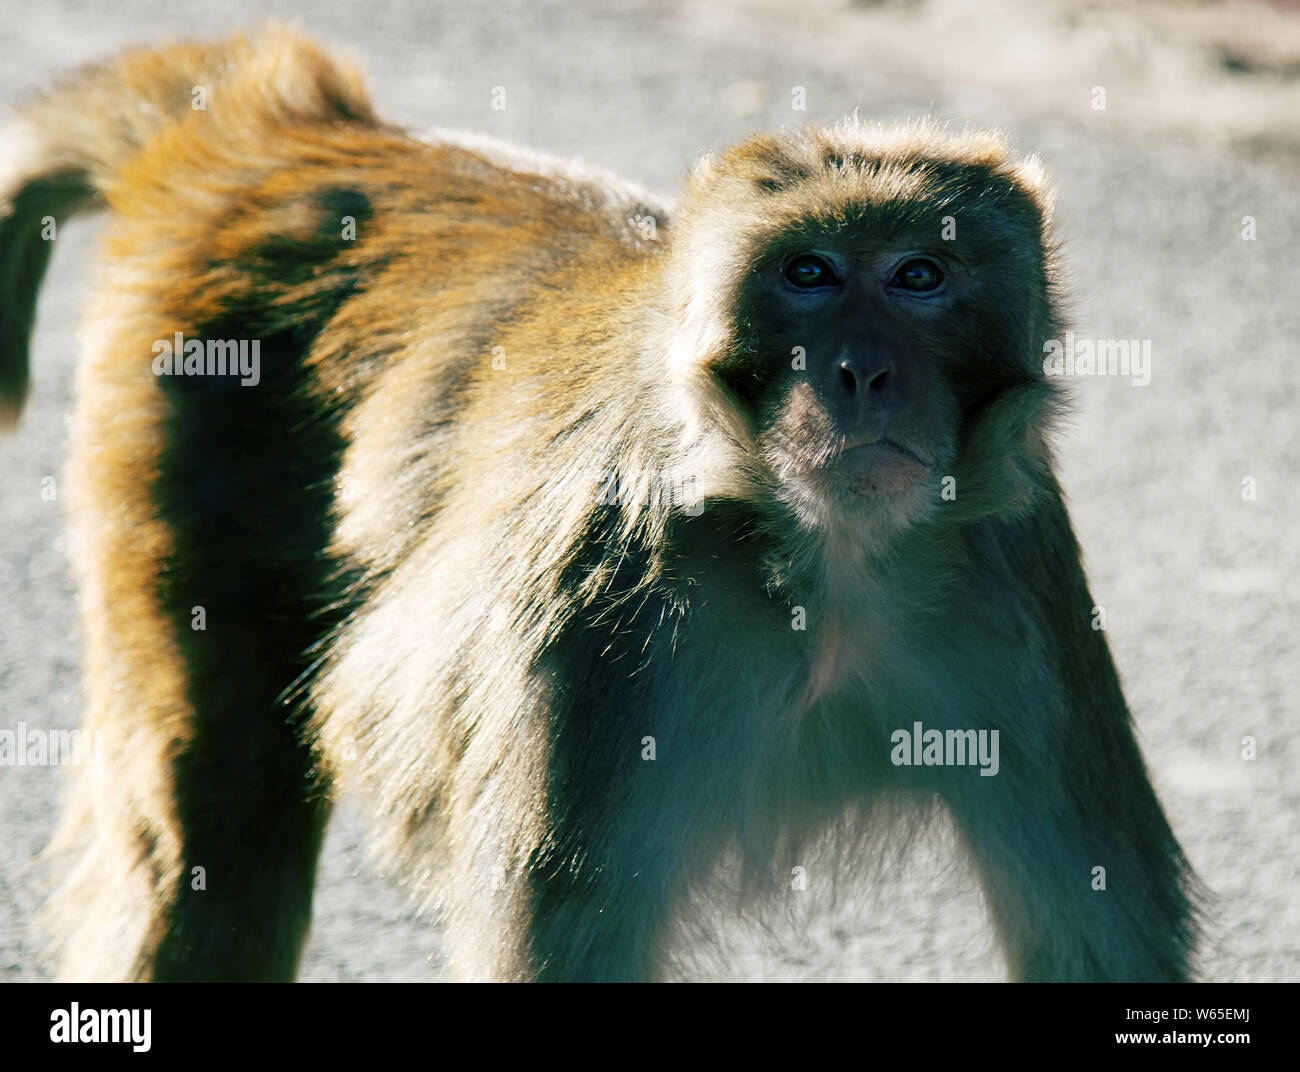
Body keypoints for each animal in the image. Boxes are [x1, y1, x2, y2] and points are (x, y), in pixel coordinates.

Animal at [0, 27, 1196, 977]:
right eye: (809, 274)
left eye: (919, 276)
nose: (862, 371)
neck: (826, 559)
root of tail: (290, 136)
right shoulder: (603, 613)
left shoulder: (1021, 568)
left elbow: (1094, 928)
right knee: (218, 806)